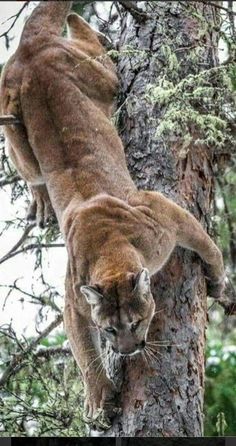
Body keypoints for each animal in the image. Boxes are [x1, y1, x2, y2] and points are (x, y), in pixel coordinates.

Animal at [0, 0, 229, 430]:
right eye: (108, 328)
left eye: (136, 322)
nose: (126, 351)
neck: (109, 246)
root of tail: (29, 46)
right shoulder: (74, 303)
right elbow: (84, 355)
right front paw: (98, 398)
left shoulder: (163, 211)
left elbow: (208, 244)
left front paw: (218, 280)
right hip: (18, 132)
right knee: (31, 170)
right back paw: (40, 201)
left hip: (101, 82)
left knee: (92, 45)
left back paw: (99, 34)